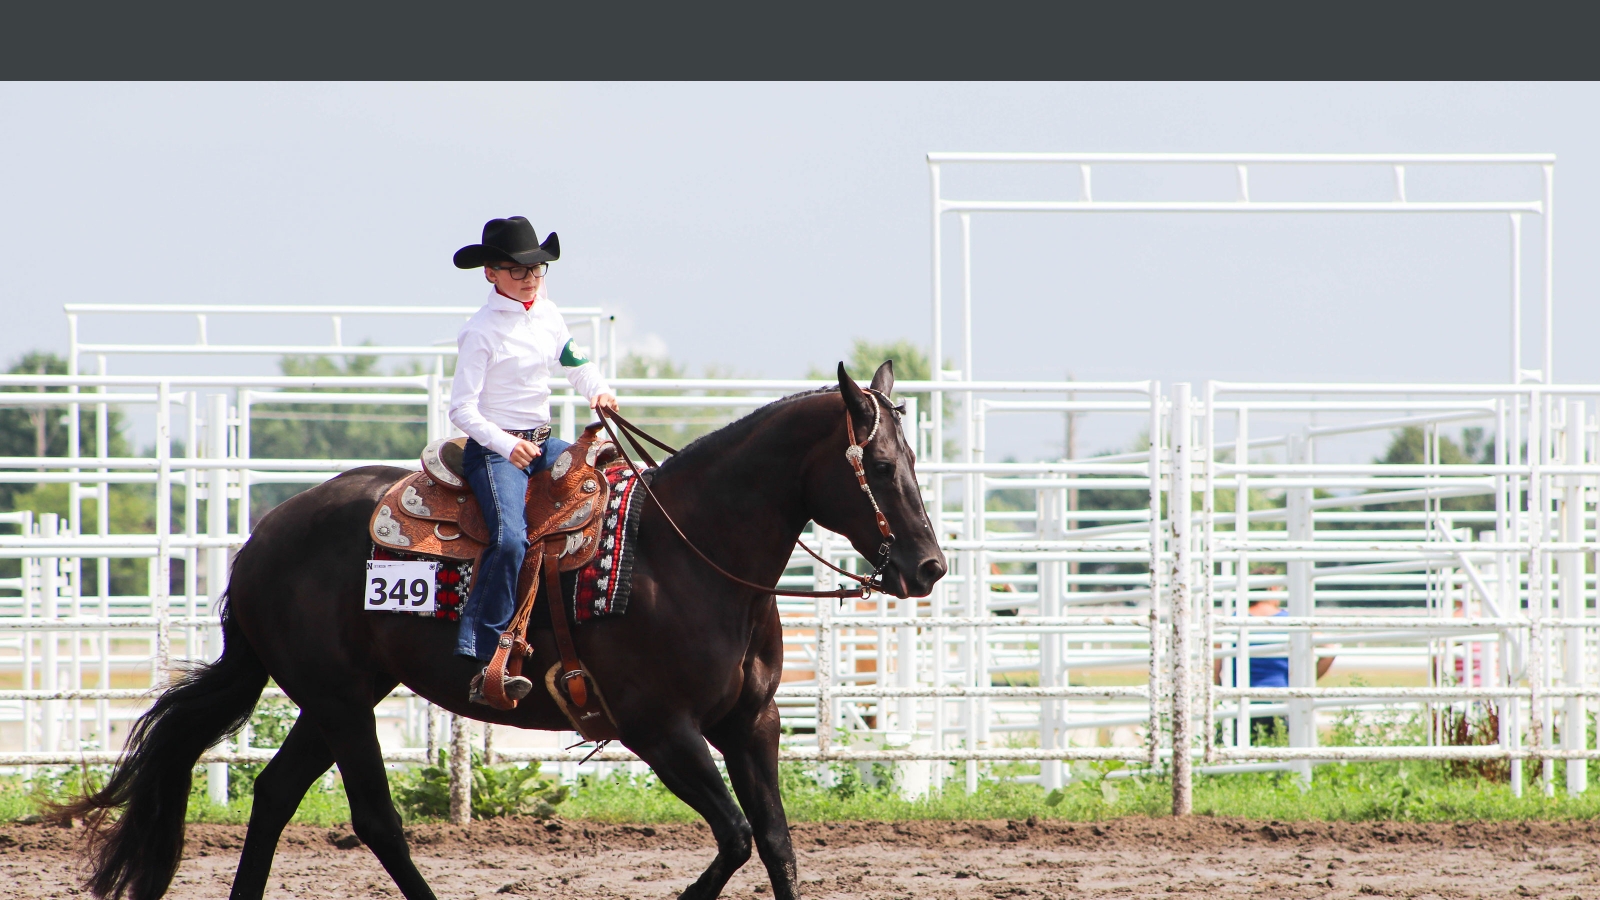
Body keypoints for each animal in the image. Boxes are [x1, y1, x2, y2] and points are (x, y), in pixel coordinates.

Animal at [59, 358, 934, 896]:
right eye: (880, 466)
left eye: (914, 461)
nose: (928, 567)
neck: (690, 555)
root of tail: (262, 537)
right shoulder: (661, 729)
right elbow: (734, 838)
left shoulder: (752, 724)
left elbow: (776, 845)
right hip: (341, 702)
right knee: (375, 819)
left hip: (339, 698)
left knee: (274, 794)